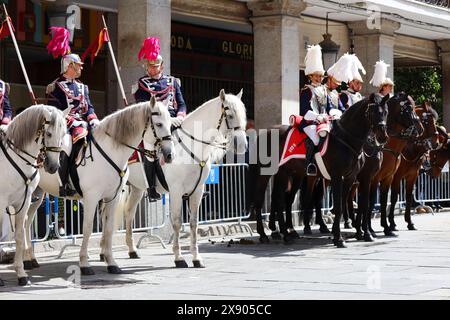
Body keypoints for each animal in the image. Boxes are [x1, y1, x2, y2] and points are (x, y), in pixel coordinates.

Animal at [0, 106, 66, 286]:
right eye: (48, 134)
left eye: (64, 133)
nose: (53, 166)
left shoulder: (23, 201)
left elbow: (19, 236)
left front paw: (21, 274)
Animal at [22, 96, 175, 282]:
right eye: (159, 124)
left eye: (171, 124)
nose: (169, 155)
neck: (111, 151)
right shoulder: (91, 198)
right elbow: (87, 228)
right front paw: (84, 264)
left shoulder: (112, 197)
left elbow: (108, 229)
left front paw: (111, 263)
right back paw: (25, 261)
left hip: (37, 193)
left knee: (26, 221)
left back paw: (31, 259)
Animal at [111, 89, 246, 268]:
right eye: (230, 115)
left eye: (244, 115)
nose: (243, 145)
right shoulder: (175, 191)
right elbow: (176, 222)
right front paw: (179, 257)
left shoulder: (197, 191)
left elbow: (194, 223)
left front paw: (196, 258)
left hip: (137, 188)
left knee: (129, 213)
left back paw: (132, 250)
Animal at [388, 102, 438, 230]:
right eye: (426, 121)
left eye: (435, 120)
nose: (436, 143)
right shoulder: (396, 177)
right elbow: (394, 197)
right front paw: (392, 223)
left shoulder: (412, 176)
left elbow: (409, 197)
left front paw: (409, 222)